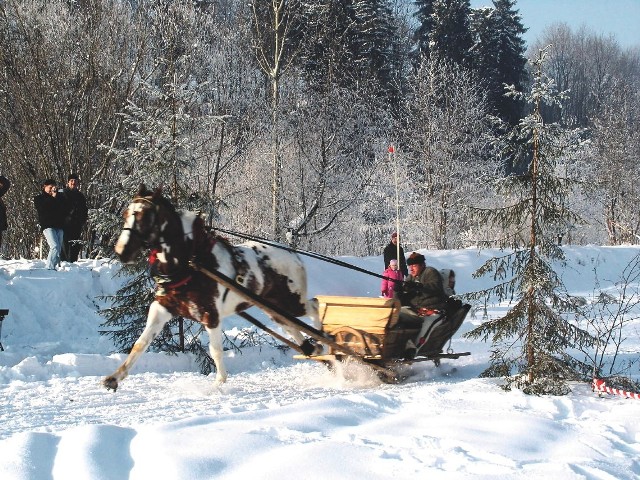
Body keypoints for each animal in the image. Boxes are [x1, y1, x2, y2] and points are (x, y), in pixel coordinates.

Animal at [105, 186, 322, 392]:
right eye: (126, 213)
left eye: (145, 215)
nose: (122, 251)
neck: (190, 262)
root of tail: (294, 255)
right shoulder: (162, 308)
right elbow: (140, 343)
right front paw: (114, 378)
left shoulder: (211, 315)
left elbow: (215, 351)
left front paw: (219, 383)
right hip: (275, 310)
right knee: (294, 326)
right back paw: (314, 349)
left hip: (291, 302)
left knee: (315, 305)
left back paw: (323, 338)